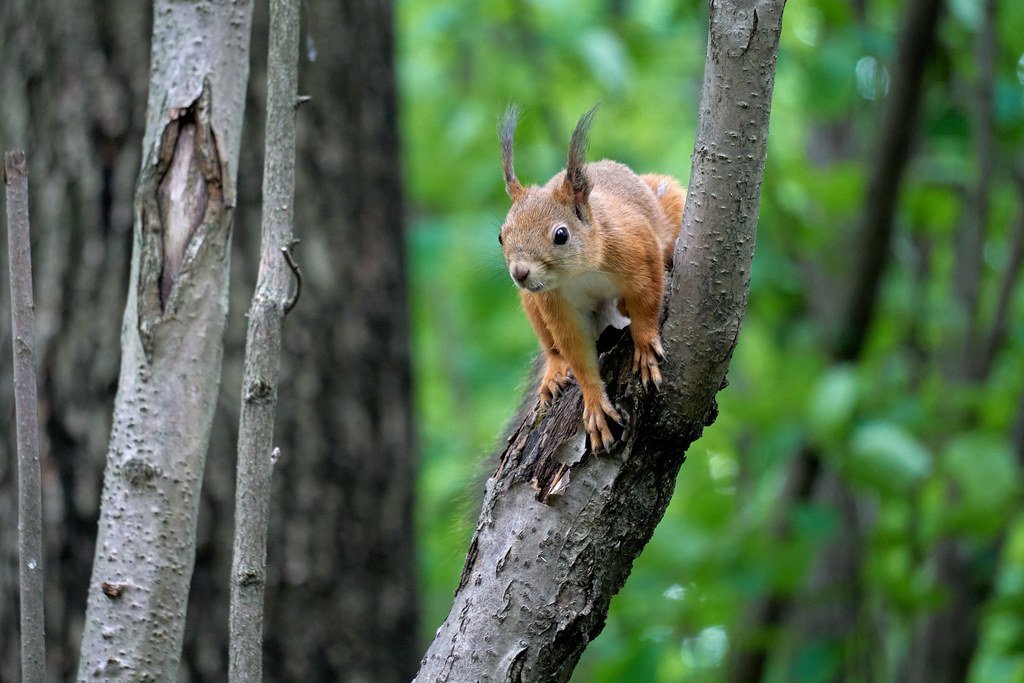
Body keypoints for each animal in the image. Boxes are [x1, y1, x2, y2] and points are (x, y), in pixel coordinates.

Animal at [497, 104, 684, 450]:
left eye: (561, 235)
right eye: (501, 237)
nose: (520, 273)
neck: (580, 274)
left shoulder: (639, 251)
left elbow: (647, 302)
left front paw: (644, 347)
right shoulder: (555, 303)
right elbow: (576, 351)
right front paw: (595, 403)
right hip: (531, 302)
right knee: (552, 347)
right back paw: (554, 371)